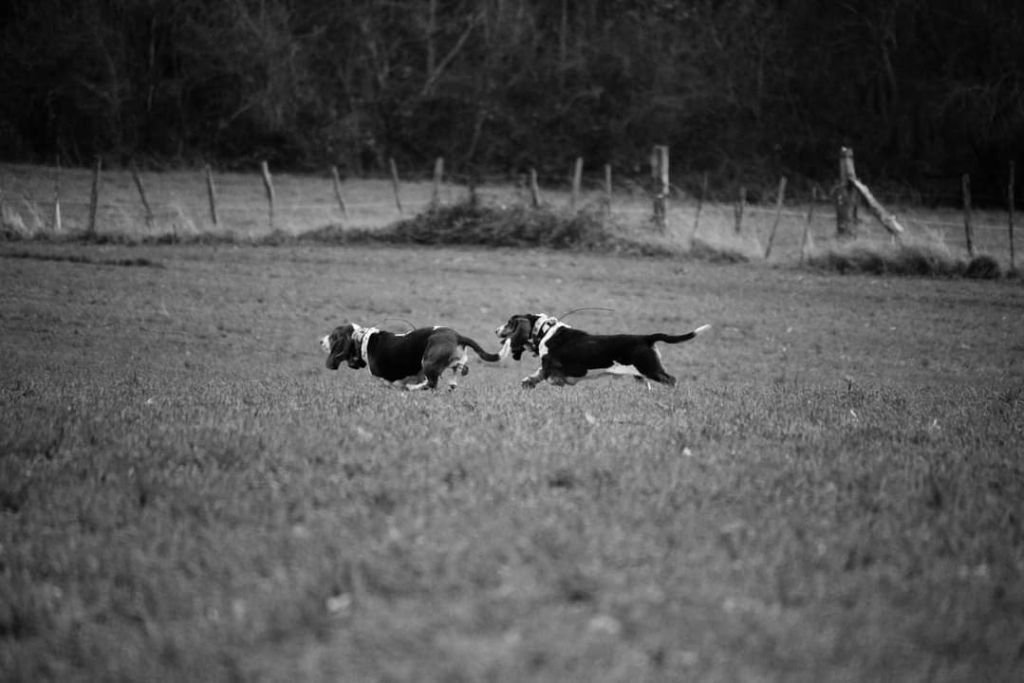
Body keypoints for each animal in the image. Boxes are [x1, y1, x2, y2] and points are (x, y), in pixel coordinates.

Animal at [497, 315, 712, 389]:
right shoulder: (545, 367)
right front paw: (527, 383)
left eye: (509, 322)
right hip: (642, 376)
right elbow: (536, 374)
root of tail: (646, 337)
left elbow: (549, 376)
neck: (544, 330)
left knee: (671, 380)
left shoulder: (552, 368)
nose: (496, 330)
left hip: (650, 368)